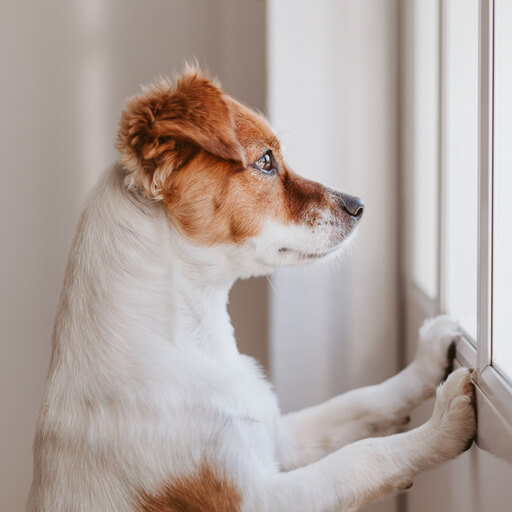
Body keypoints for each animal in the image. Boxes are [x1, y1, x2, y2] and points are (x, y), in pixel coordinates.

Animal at [27, 68, 476, 512]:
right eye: (265, 161)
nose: (359, 205)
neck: (193, 341)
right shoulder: (256, 497)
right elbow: (361, 458)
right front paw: (443, 424)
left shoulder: (275, 436)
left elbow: (358, 401)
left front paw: (426, 360)